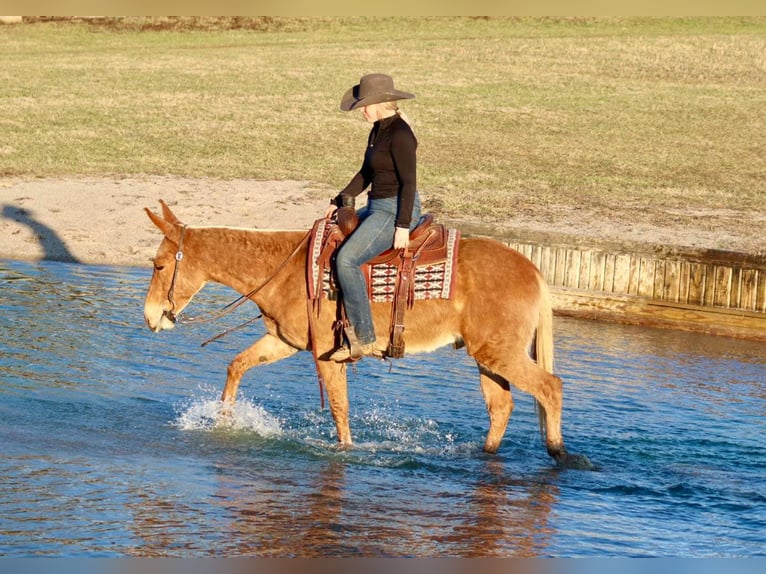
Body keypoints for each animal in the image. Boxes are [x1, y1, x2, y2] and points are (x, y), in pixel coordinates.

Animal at [143, 200, 589, 468]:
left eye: (159, 265)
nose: (150, 317)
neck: (285, 268)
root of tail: (533, 270)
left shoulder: (327, 352)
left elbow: (339, 407)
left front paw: (345, 451)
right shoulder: (284, 342)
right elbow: (236, 366)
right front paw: (225, 420)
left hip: (500, 353)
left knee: (550, 387)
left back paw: (559, 453)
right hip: (488, 357)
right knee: (501, 407)